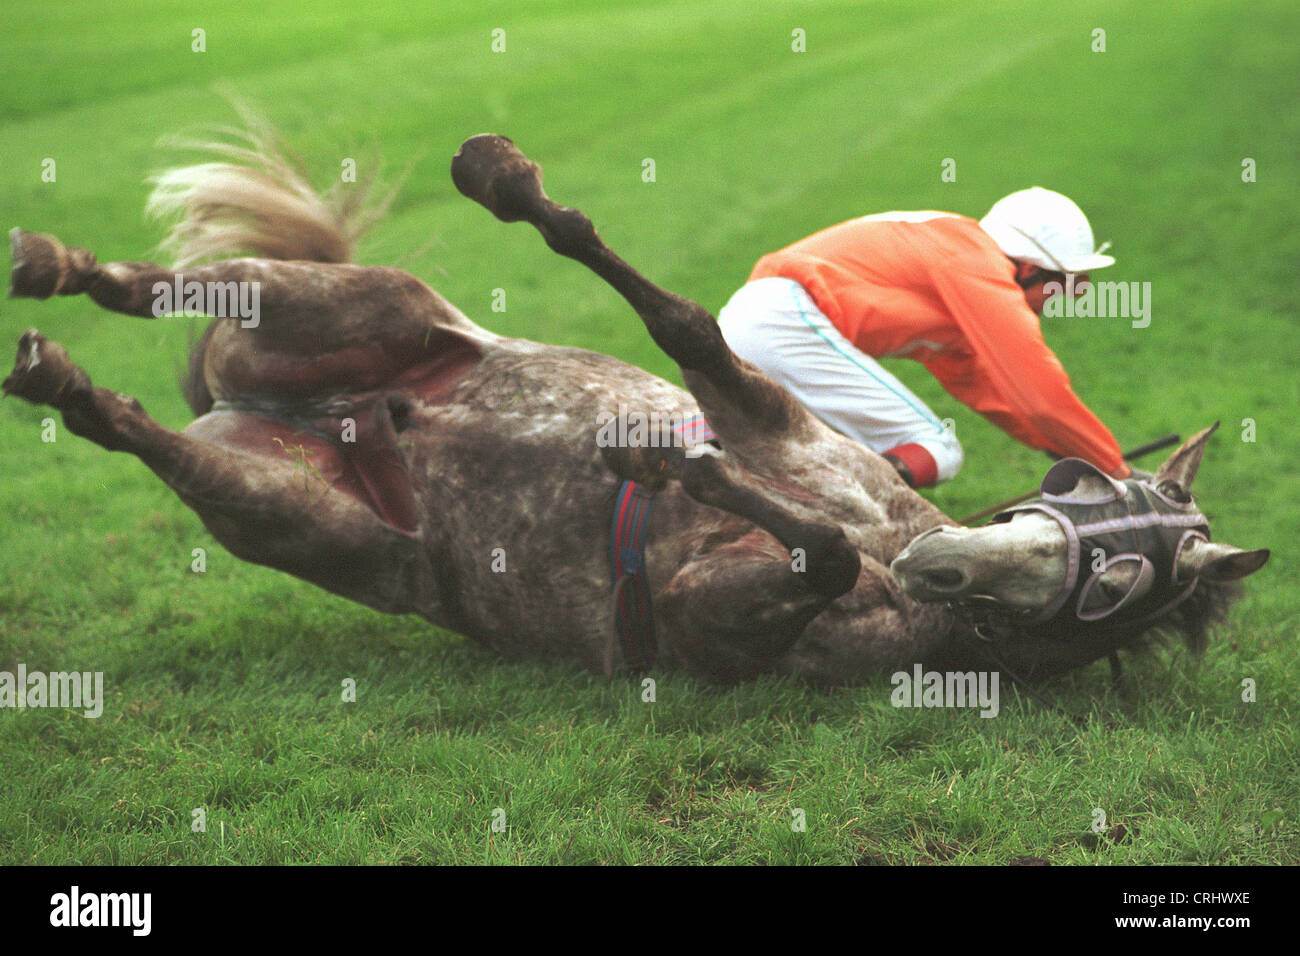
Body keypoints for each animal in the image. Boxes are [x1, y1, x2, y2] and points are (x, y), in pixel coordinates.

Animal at [3, 125, 1269, 687]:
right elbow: (681, 325)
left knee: (147, 435)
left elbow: (808, 555)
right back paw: (53, 268)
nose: (939, 567)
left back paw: (63, 378)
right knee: (162, 287)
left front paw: (668, 465)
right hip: (364, 304)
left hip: (298, 518)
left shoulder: (720, 615)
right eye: (1085, 490)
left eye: (1122, 579)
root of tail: (313, 414)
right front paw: (513, 186)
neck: (890, 534)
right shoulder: (767, 415)